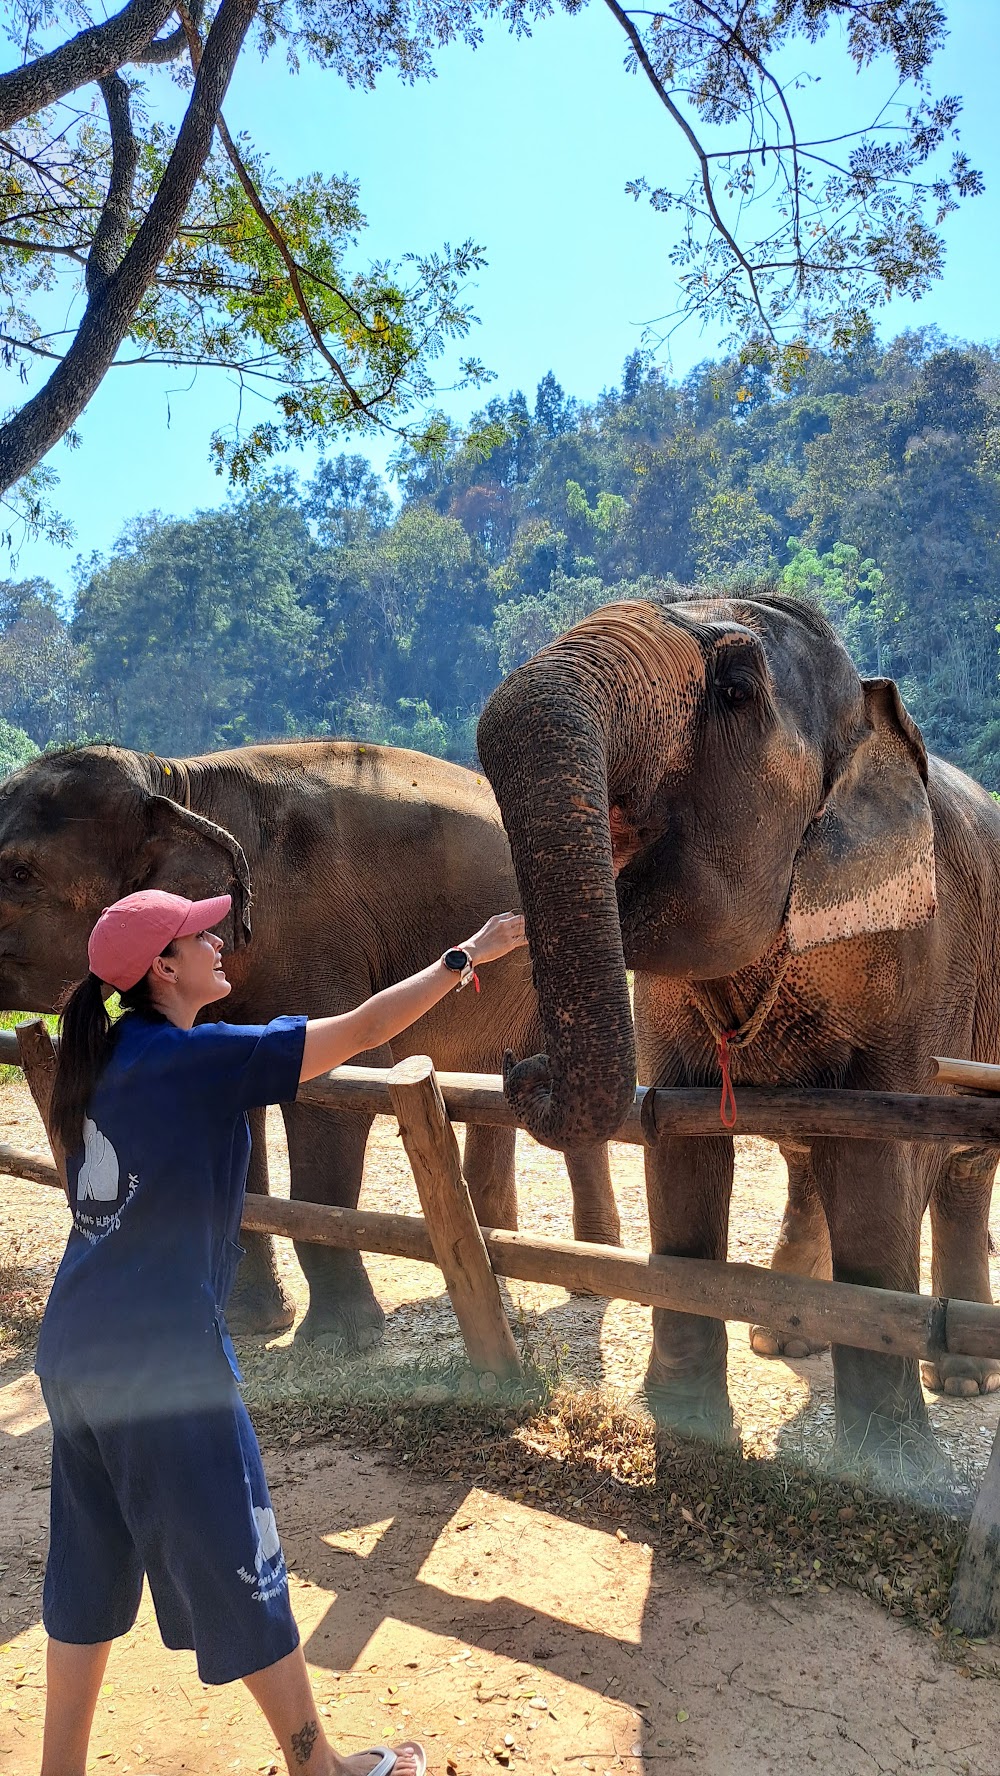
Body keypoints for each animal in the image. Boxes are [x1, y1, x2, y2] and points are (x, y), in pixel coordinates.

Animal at [0, 742, 621, 1349]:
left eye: (20, 873)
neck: (179, 780)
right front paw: (249, 1325)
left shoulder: (316, 936)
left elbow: (332, 1094)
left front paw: (340, 1340)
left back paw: (588, 1274)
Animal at [479, 589, 1000, 1477]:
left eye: (734, 692)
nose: (523, 1064)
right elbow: (679, 1145)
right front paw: (684, 1421)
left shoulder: (923, 956)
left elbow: (879, 1157)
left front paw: (888, 1464)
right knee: (810, 1155)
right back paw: (783, 1340)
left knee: (959, 1166)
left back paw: (962, 1379)